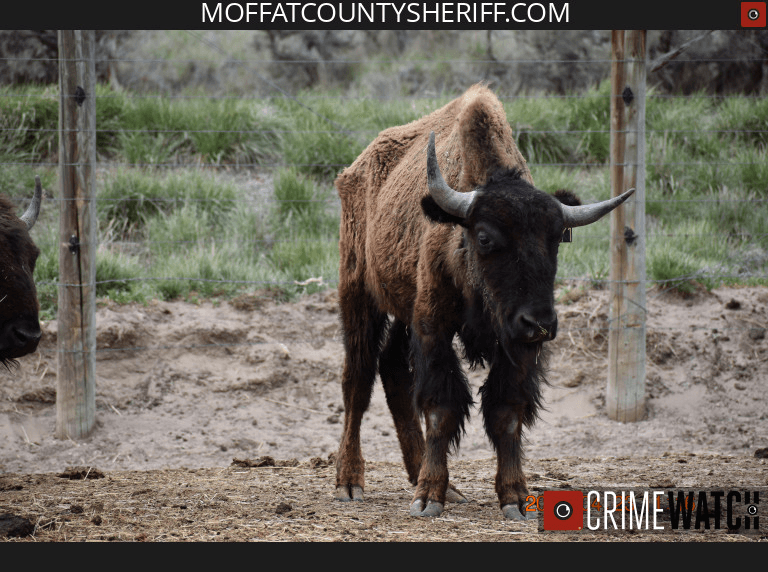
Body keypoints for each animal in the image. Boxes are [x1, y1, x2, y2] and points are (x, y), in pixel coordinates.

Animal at [333, 85, 633, 519]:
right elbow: (441, 408)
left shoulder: (515, 344)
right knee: (357, 380)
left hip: (403, 310)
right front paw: (429, 497)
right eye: (485, 236)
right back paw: (350, 482)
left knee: (392, 370)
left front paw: (515, 499)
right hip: (358, 293)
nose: (540, 322)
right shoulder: (434, 327)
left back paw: (430, 478)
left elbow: (506, 412)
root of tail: (354, 171)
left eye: (556, 239)